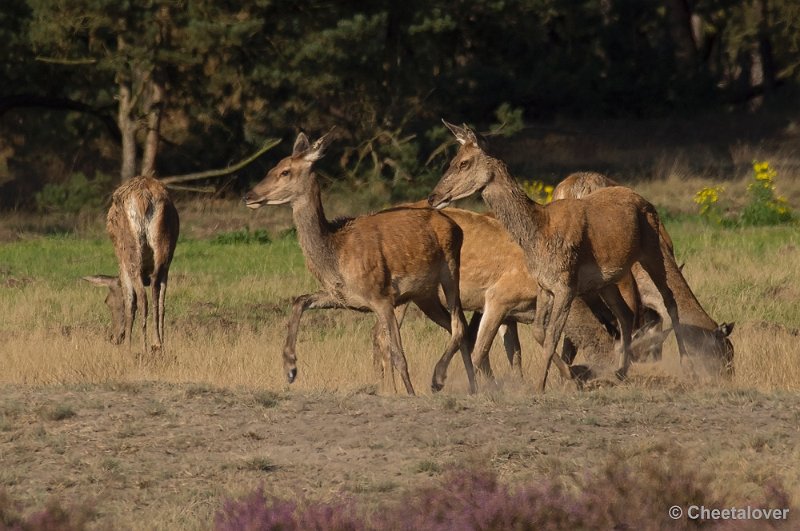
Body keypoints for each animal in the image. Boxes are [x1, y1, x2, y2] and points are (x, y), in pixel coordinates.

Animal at [83, 176, 179, 358]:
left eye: (108, 301)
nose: (113, 338)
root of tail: (144, 197)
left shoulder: (122, 263)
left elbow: (129, 301)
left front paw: (127, 347)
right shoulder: (167, 269)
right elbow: (161, 301)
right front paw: (160, 343)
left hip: (130, 250)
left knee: (142, 297)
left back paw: (142, 347)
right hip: (164, 250)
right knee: (157, 294)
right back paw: (157, 344)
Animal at [242, 131, 476, 396]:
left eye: (285, 172)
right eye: (273, 167)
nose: (249, 195)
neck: (334, 255)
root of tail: (455, 226)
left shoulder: (382, 296)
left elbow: (398, 355)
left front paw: (410, 394)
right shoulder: (344, 296)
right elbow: (300, 300)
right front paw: (290, 368)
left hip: (451, 269)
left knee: (459, 325)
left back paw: (439, 379)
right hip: (424, 294)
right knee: (456, 327)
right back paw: (474, 386)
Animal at [428, 122, 692, 392]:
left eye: (464, 162)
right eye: (452, 159)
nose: (433, 196)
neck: (539, 232)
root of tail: (643, 199)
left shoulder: (566, 284)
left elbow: (552, 336)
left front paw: (542, 386)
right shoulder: (545, 285)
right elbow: (539, 332)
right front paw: (565, 377)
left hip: (652, 249)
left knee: (669, 300)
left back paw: (682, 364)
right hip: (608, 279)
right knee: (626, 315)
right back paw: (621, 371)